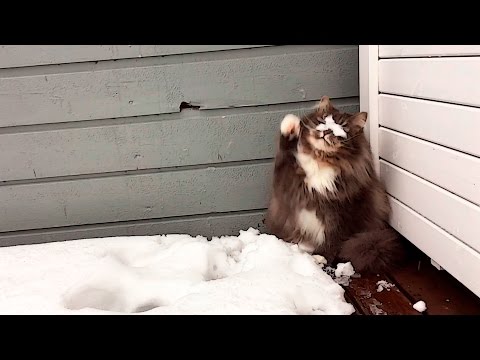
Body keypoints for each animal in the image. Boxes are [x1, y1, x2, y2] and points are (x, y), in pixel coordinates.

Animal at [264, 95, 404, 272]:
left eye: (342, 127)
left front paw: (321, 257)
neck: (321, 160)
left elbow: (333, 237)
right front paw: (290, 123)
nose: (327, 131)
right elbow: (285, 150)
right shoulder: (286, 182)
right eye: (323, 120)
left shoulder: (342, 211)